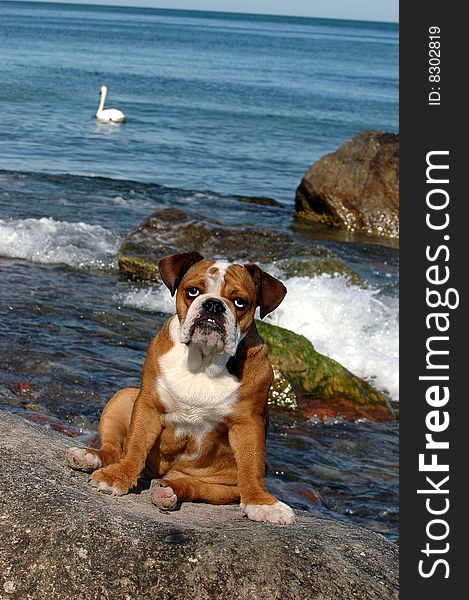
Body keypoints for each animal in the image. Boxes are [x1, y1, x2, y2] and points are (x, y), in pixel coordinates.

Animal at [67, 251, 294, 524]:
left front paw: (262, 503)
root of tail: (163, 475)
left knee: (197, 487)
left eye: (240, 302)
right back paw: (90, 457)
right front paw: (117, 477)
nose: (213, 305)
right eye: (193, 291)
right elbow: (135, 446)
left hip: (224, 486)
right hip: (122, 398)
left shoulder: (248, 423)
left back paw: (169, 492)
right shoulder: (148, 405)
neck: (203, 360)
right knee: (114, 449)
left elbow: (251, 465)